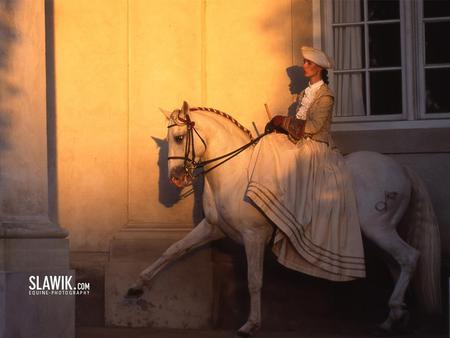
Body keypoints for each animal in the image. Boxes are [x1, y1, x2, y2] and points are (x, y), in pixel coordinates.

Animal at [125, 101, 440, 336]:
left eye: (179, 138)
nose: (176, 178)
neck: (236, 172)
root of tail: (400, 167)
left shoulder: (253, 236)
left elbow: (254, 280)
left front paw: (250, 324)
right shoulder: (213, 227)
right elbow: (173, 249)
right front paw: (137, 285)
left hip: (378, 228)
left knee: (409, 257)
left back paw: (395, 311)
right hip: (378, 233)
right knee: (397, 263)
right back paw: (393, 316)